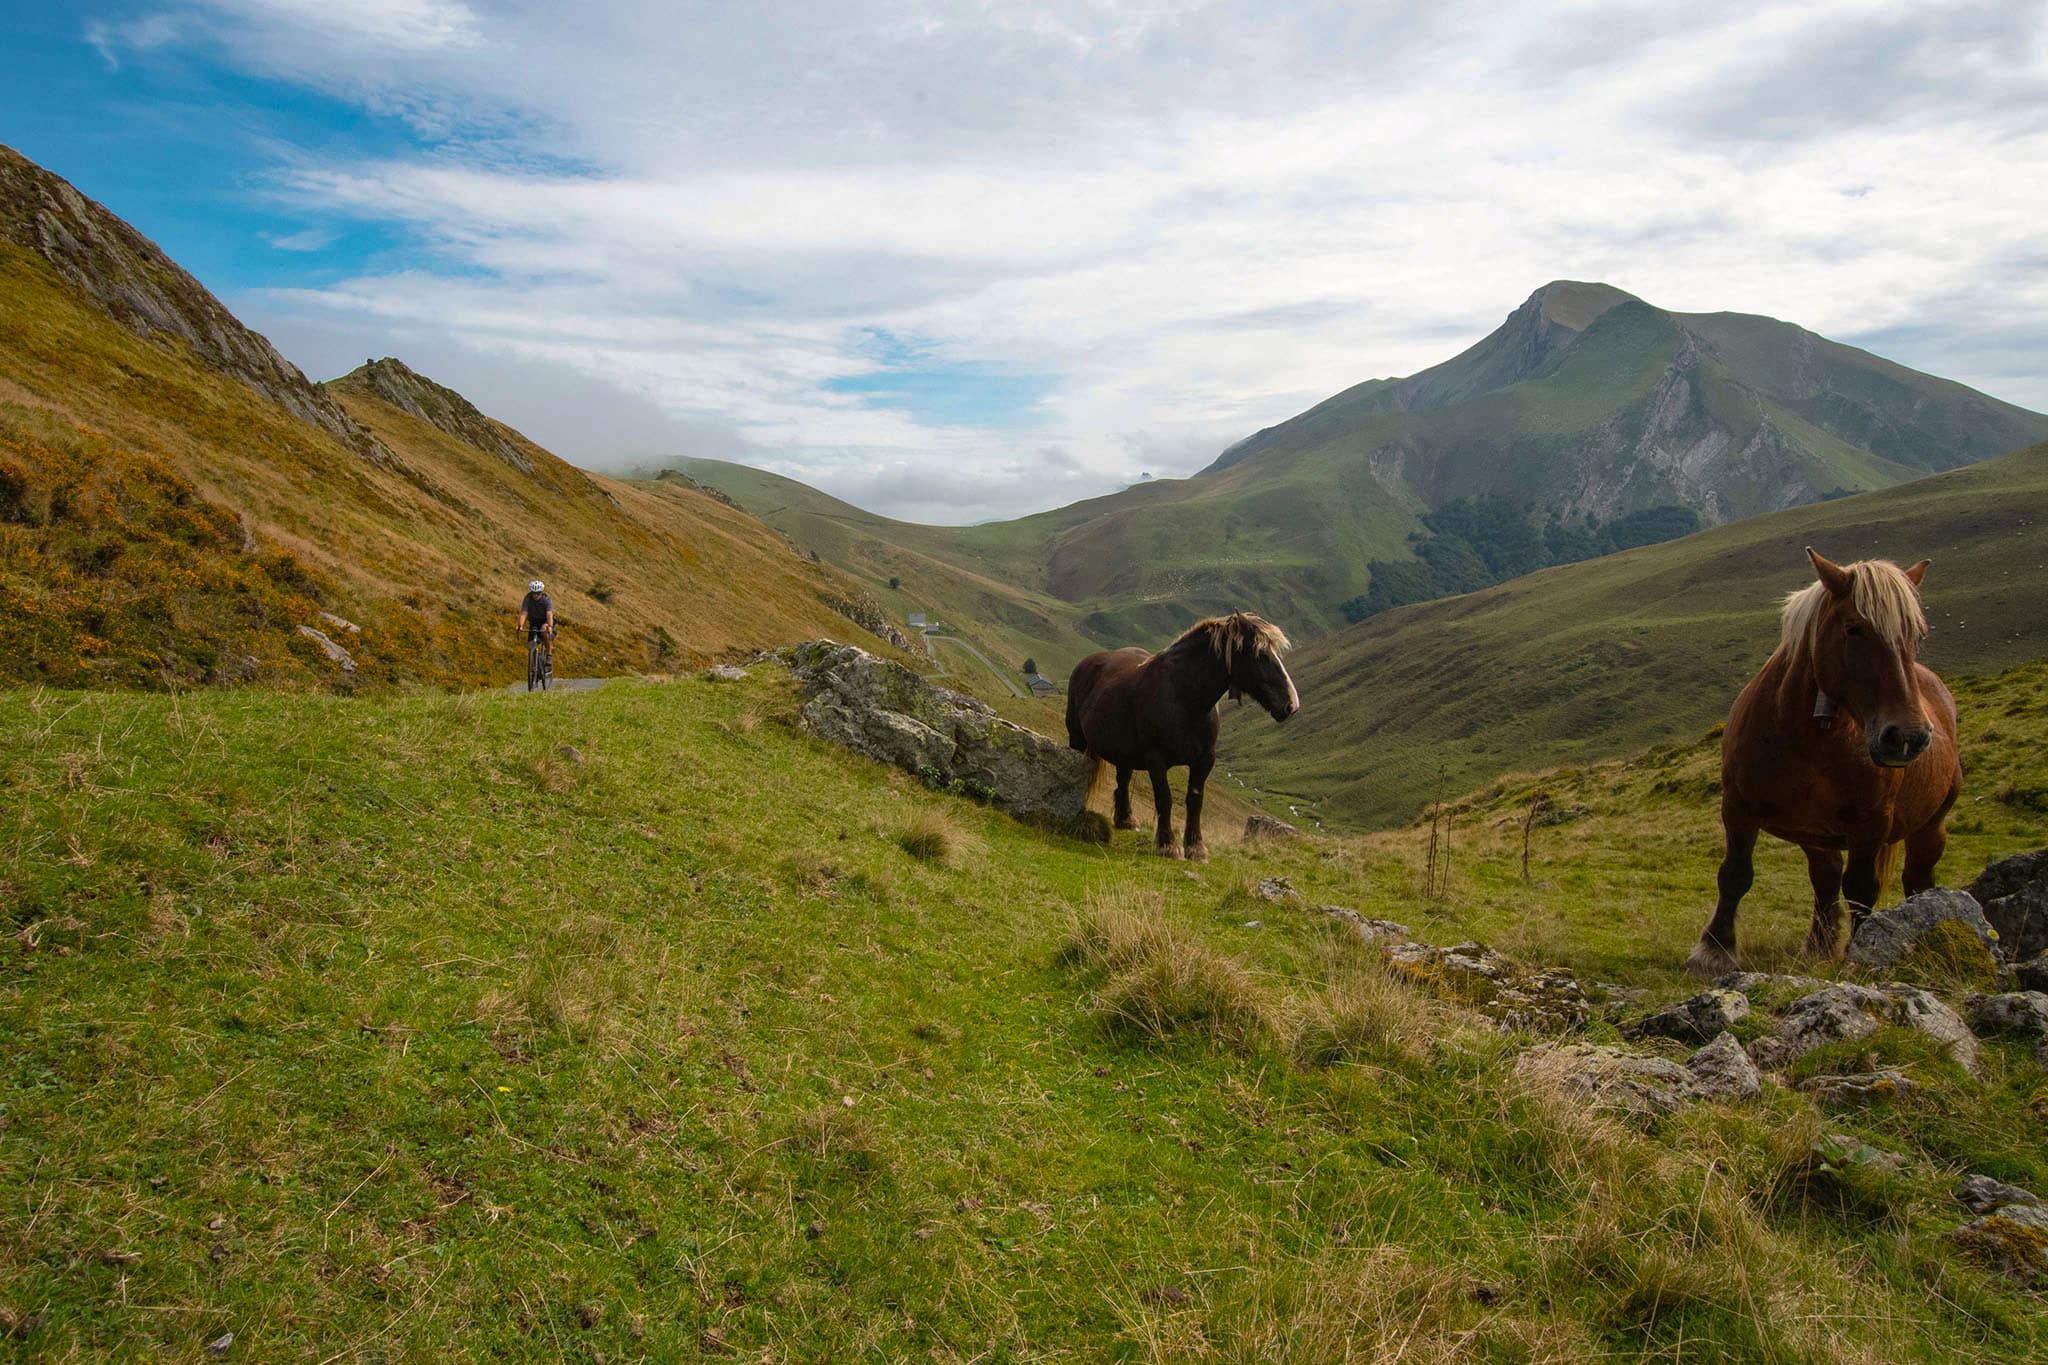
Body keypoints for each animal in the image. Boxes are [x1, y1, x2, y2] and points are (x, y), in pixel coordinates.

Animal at [1073, 613, 1294, 859]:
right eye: (1260, 655)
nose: (1290, 704)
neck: (1184, 699)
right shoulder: (1156, 760)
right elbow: (1165, 799)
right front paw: (1168, 845)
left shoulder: (1204, 760)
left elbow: (1195, 800)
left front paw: (1196, 848)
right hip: (1077, 738)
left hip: (1124, 754)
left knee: (1123, 780)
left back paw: (1126, 820)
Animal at [1687, 548, 1957, 978]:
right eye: (1854, 629)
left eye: (1917, 634)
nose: (1908, 737)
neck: (1810, 738)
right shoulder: (1738, 806)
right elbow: (1735, 874)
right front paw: (1714, 949)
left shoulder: (1872, 822)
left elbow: (1862, 888)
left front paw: (1862, 953)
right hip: (1815, 834)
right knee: (1825, 877)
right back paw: (1818, 944)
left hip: (1931, 824)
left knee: (1917, 879)